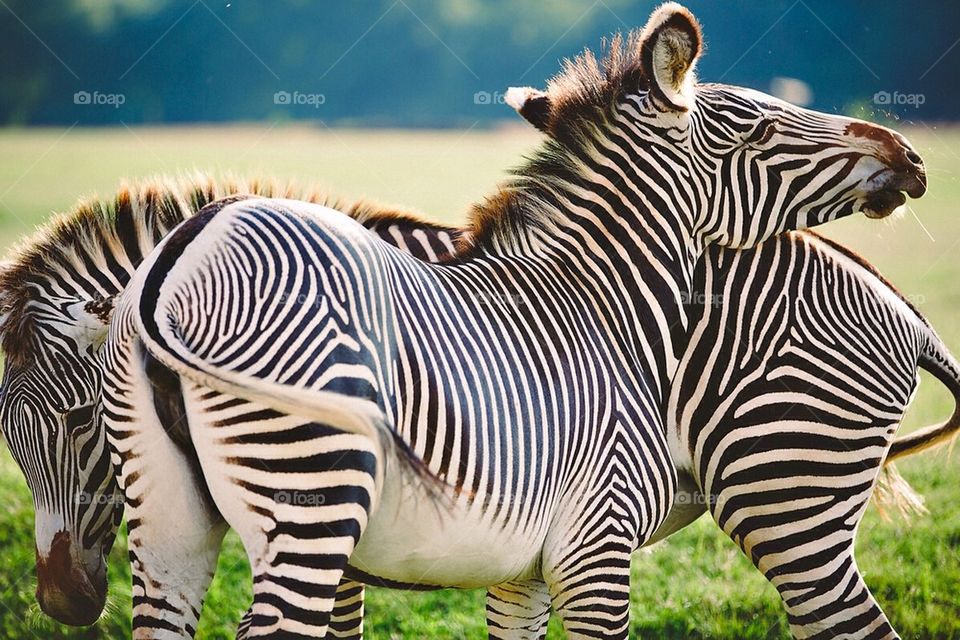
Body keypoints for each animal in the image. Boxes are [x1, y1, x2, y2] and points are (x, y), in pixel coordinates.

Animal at [102, 4, 929, 637]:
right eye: (756, 131)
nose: (911, 155)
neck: (601, 305)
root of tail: (183, 251)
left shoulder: (524, 571)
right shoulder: (595, 548)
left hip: (164, 518)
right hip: (312, 493)